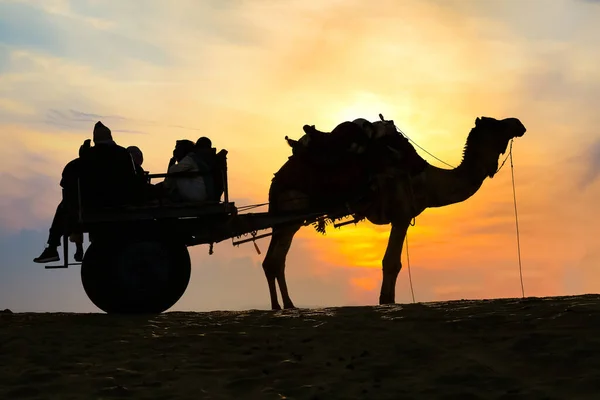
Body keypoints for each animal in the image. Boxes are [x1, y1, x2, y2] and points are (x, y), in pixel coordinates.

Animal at [262, 115, 524, 310]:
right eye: (496, 123)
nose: (519, 124)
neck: (427, 180)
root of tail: (277, 178)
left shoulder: (402, 216)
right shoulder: (402, 214)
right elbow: (391, 262)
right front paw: (386, 301)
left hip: (286, 217)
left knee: (273, 260)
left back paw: (284, 305)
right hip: (292, 210)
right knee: (275, 259)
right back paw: (283, 305)